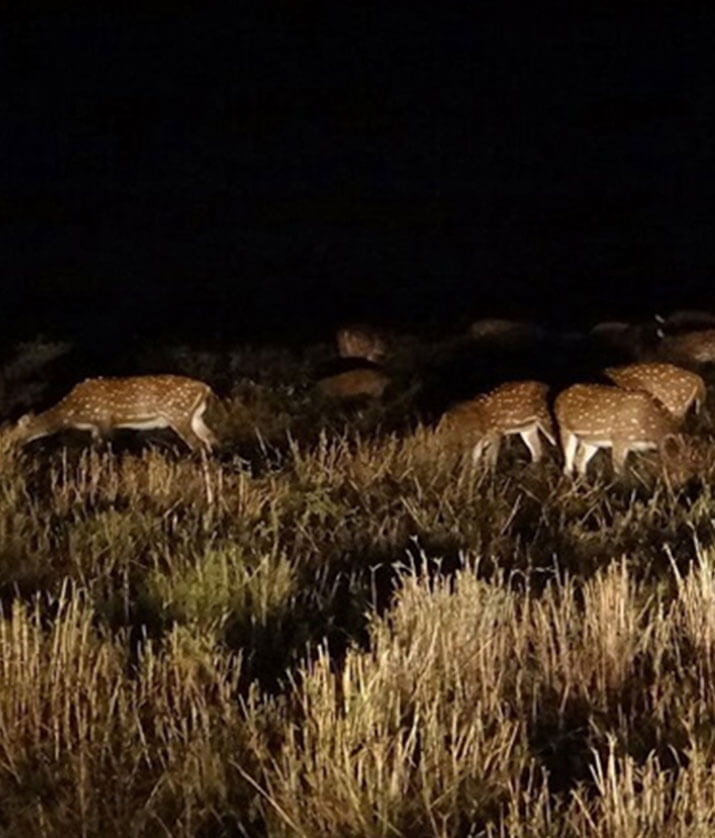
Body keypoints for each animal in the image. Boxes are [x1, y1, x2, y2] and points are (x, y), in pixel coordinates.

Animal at [14, 374, 218, 452]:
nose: (11, 447)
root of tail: (206, 388)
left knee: (197, 444)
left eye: (12, 433)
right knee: (211, 439)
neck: (72, 414)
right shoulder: (94, 427)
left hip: (178, 414)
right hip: (195, 417)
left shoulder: (103, 419)